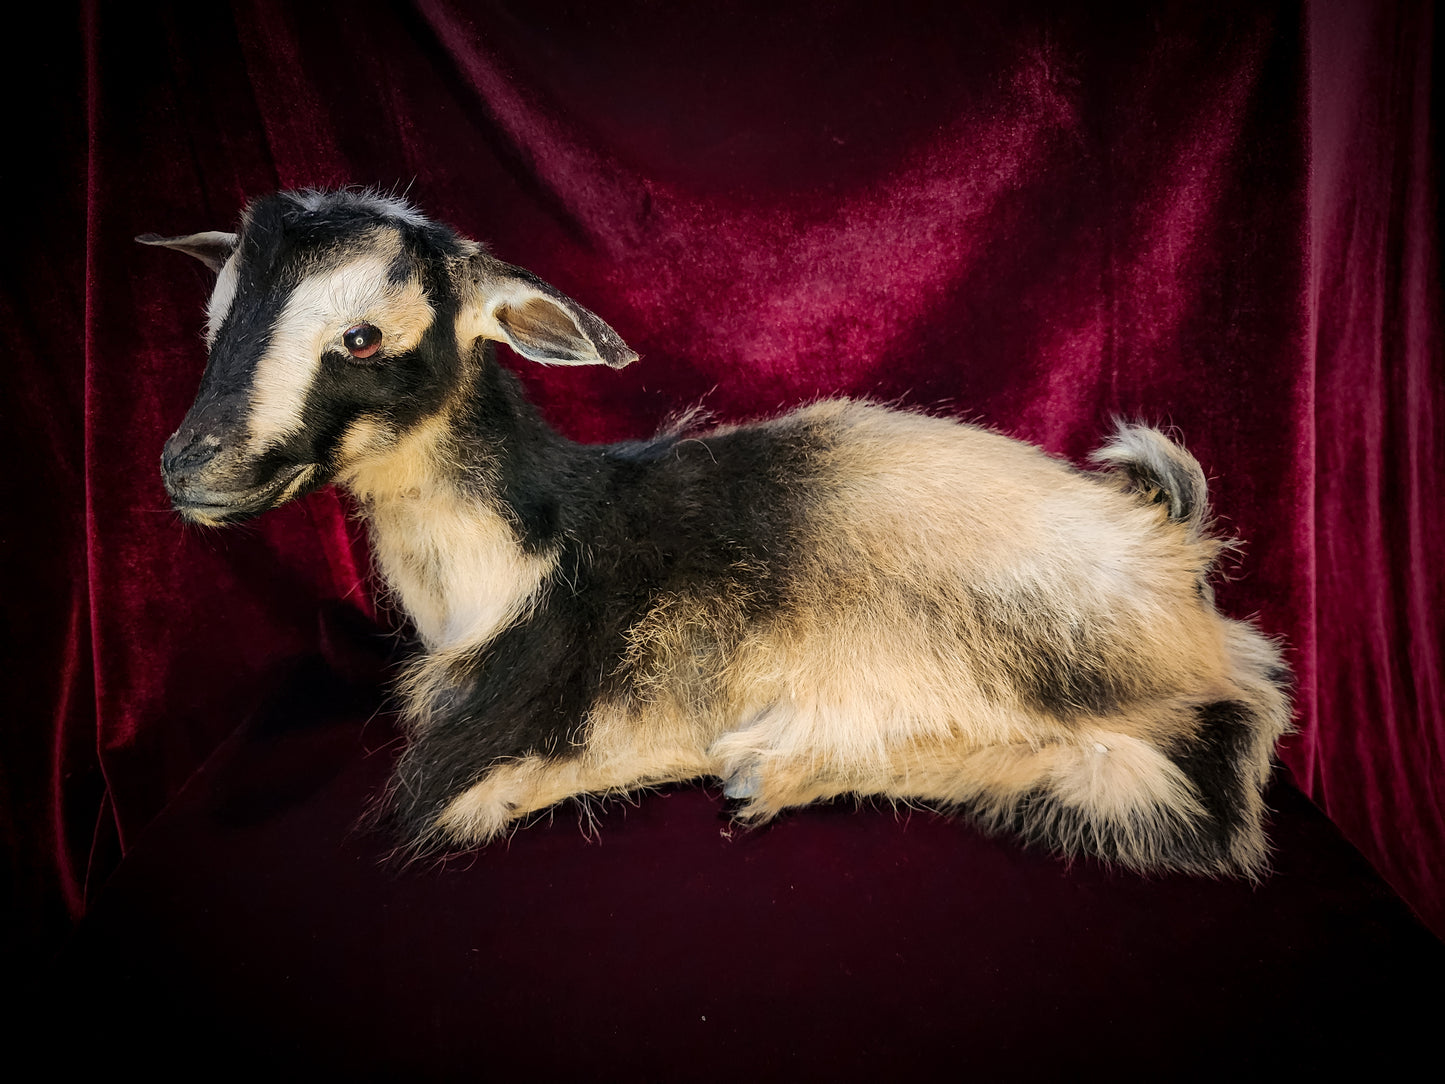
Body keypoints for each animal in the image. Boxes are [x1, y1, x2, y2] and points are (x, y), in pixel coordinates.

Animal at [142, 188, 1291, 876]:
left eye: (361, 335)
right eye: (214, 320)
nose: (189, 467)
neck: (521, 554)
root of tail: (1172, 550)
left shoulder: (494, 728)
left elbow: (460, 801)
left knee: (1197, 766)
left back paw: (768, 766)